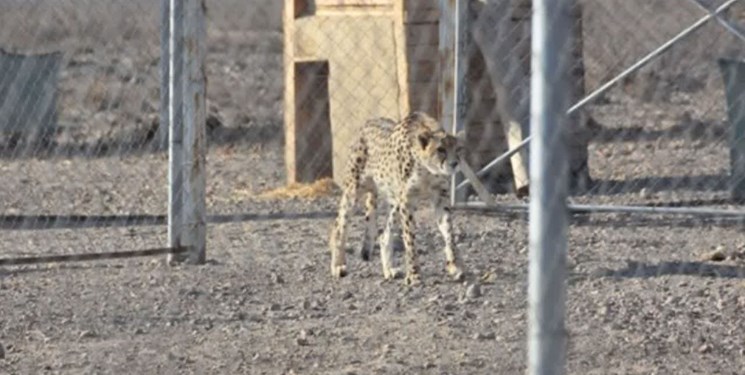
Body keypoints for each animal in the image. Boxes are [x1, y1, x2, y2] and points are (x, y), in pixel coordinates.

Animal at [330, 111, 464, 284]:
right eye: (441, 149)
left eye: (459, 149)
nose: (454, 164)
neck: (428, 170)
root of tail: (369, 121)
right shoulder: (407, 201)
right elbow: (409, 238)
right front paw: (413, 273)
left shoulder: (440, 197)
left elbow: (449, 233)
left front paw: (455, 265)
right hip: (353, 190)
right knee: (339, 226)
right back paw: (338, 265)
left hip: (394, 200)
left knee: (384, 235)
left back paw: (389, 269)